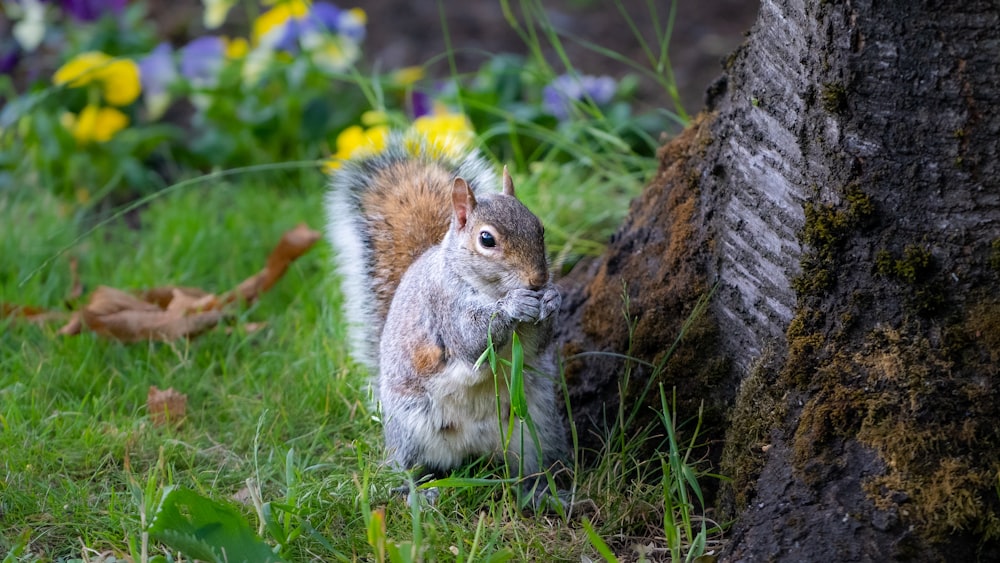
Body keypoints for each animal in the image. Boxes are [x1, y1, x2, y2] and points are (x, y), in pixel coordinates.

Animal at [326, 135, 568, 502]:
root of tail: (475, 448)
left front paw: (552, 299)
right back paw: (418, 493)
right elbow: (471, 339)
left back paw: (541, 492)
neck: (488, 288)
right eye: (486, 239)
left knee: (529, 466)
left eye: (539, 227)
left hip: (534, 427)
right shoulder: (444, 306)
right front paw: (513, 306)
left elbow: (538, 344)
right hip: (412, 429)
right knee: (411, 467)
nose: (538, 280)